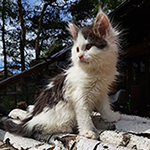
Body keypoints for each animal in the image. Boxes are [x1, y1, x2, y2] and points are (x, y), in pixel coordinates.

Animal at [2, 10, 120, 139]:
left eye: (88, 47)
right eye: (77, 49)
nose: (79, 56)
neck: (94, 71)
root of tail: (29, 120)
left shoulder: (102, 92)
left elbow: (105, 107)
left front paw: (111, 117)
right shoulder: (80, 96)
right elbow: (84, 116)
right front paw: (87, 131)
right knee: (41, 127)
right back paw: (65, 127)